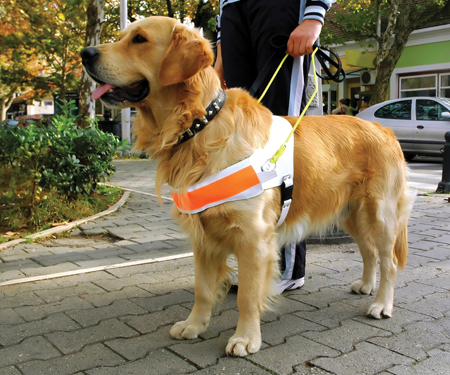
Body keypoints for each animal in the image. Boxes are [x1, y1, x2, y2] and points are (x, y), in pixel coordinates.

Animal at [81, 16, 414, 358]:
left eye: (139, 39)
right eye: (122, 36)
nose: (85, 53)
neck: (201, 127)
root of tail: (383, 128)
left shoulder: (254, 238)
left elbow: (247, 296)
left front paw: (245, 338)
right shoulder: (202, 237)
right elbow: (202, 289)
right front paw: (194, 325)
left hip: (380, 214)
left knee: (388, 261)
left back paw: (382, 304)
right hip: (351, 214)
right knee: (369, 252)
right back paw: (366, 285)